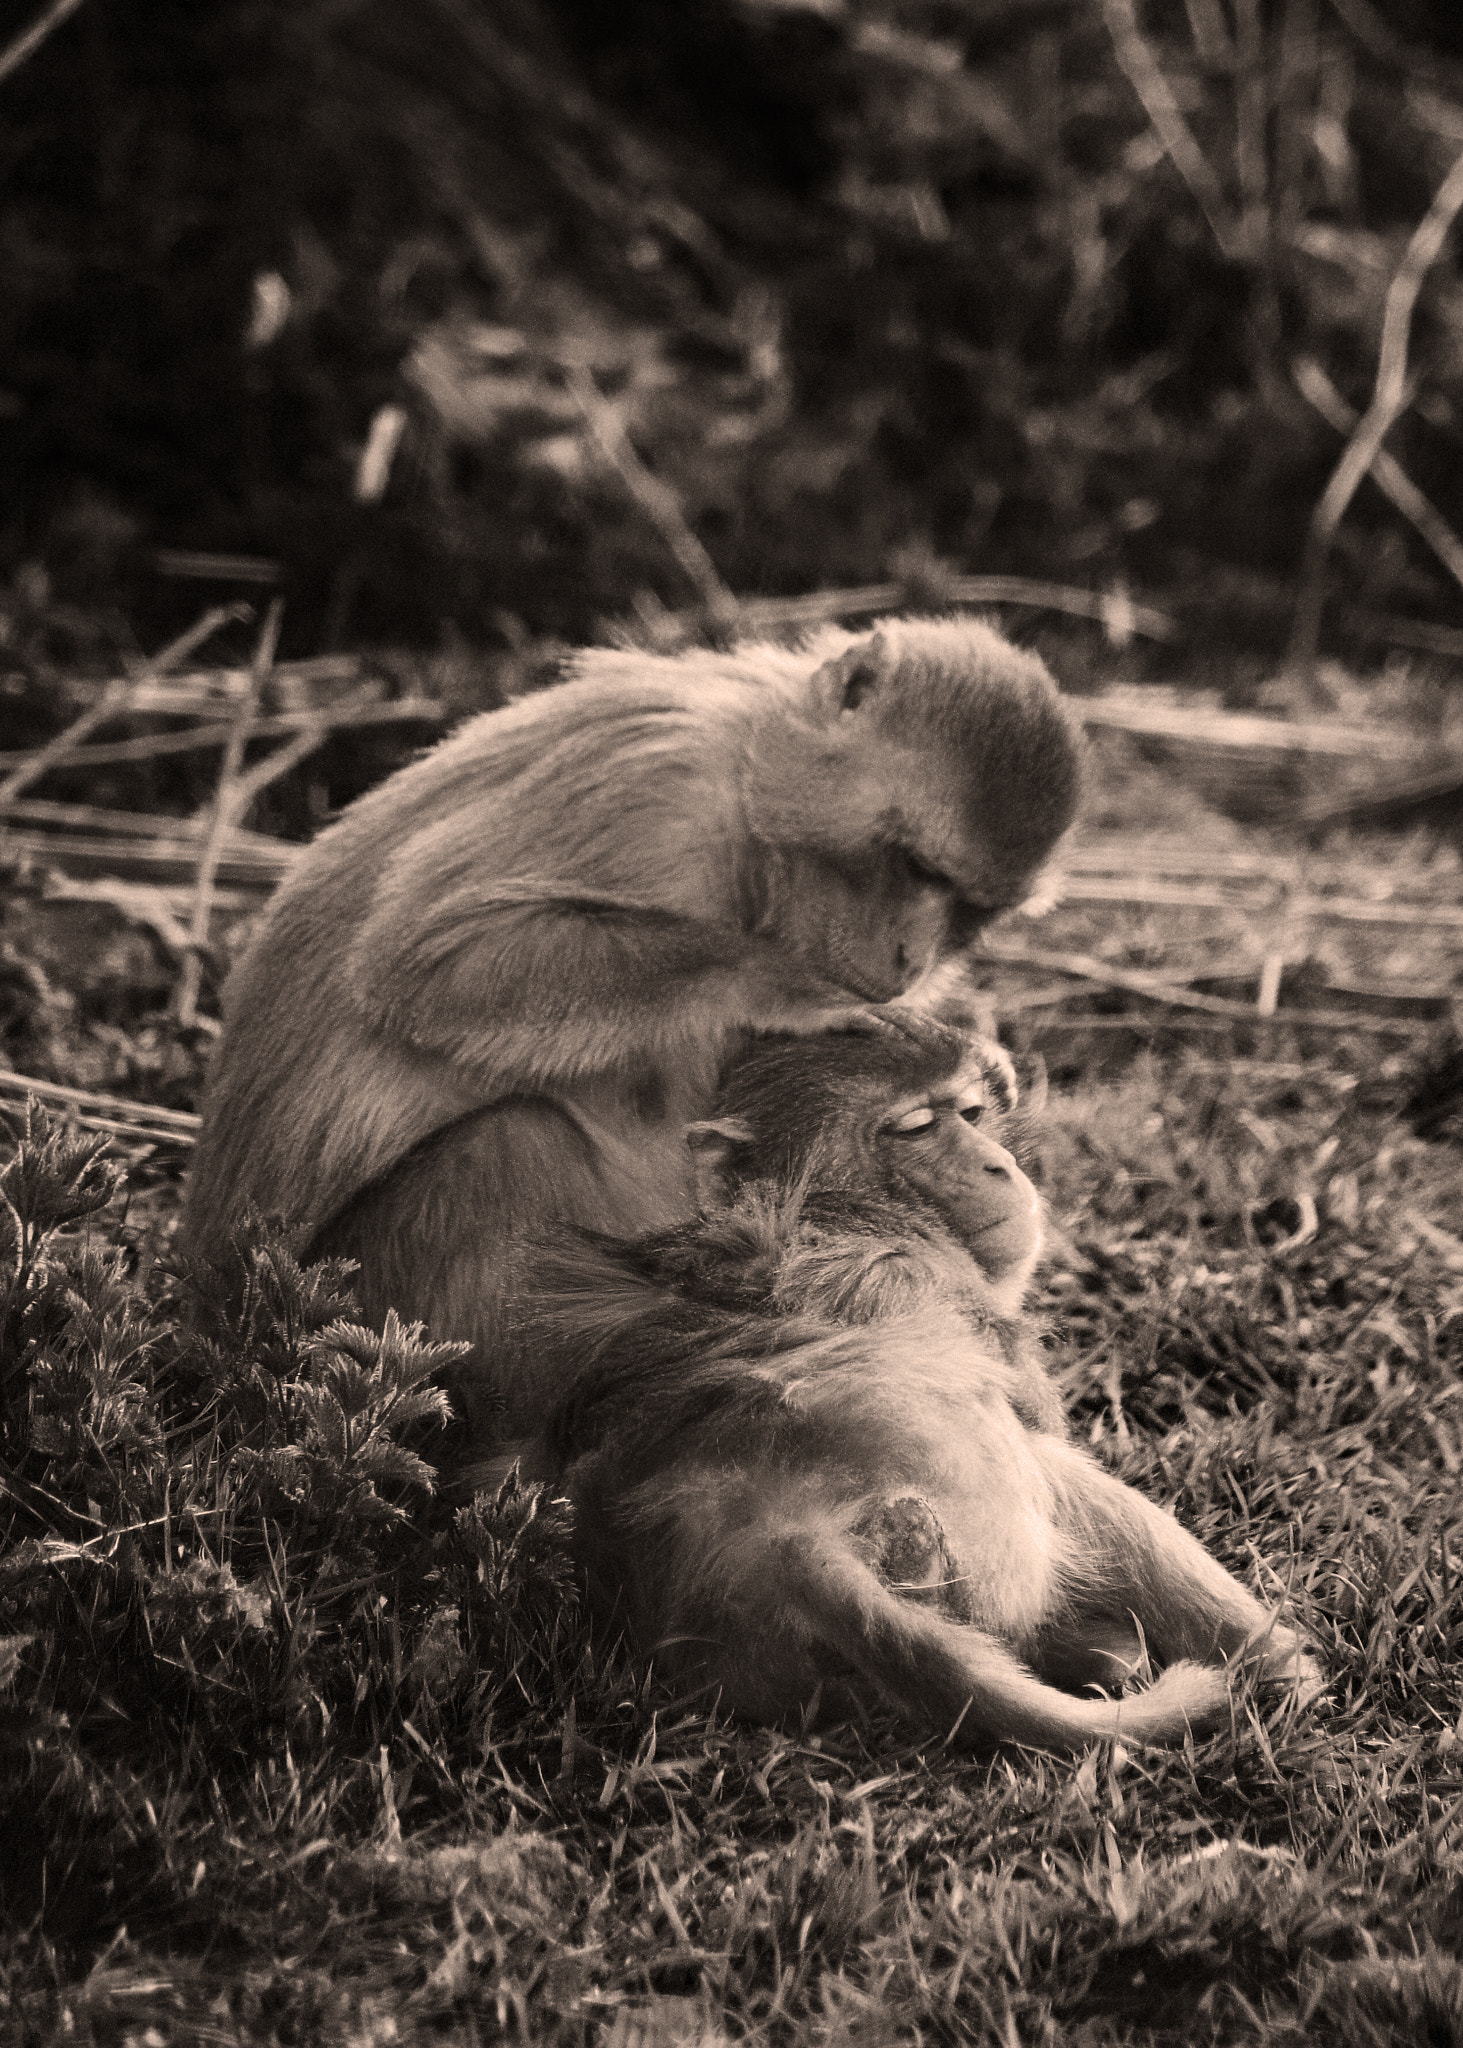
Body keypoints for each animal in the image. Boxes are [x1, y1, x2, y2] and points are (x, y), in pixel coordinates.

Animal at [180, 617, 1082, 1434]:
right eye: (915, 866)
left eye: (970, 909)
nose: (911, 959)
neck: (749, 804)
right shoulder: (658, 789)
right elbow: (425, 961)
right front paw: (778, 980)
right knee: (509, 1140)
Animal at [512, 1014, 1319, 1753]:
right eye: (915, 1127)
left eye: (970, 1113)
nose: (999, 1165)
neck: (831, 1205)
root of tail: (778, 1532)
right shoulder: (922, 1272)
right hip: (986, 1511)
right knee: (1056, 1475)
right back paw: (1278, 1671)